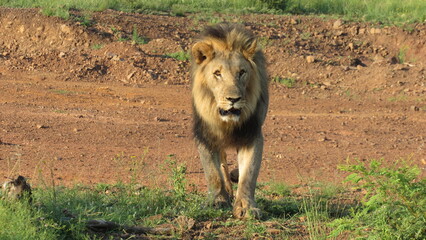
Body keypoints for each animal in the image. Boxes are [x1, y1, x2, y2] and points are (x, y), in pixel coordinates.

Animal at [191, 23, 268, 219]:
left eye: (242, 72)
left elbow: (249, 174)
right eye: (217, 73)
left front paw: (246, 207)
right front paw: (217, 200)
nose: (233, 99)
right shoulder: (205, 135)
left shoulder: (252, 134)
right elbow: (212, 172)